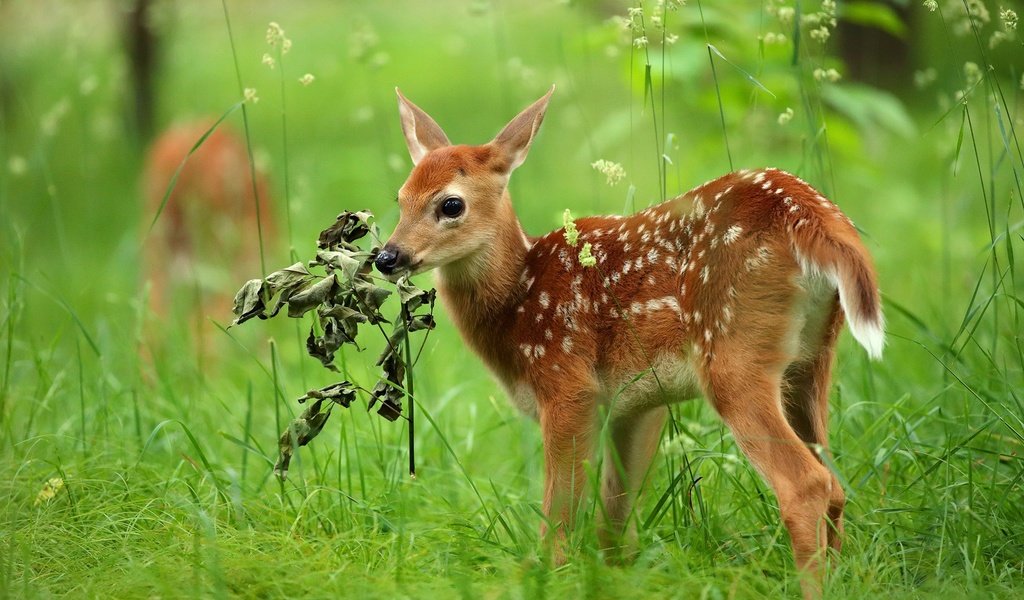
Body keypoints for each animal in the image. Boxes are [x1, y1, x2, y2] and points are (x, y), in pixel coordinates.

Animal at [376, 86, 880, 593]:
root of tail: (810, 214)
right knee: (835, 482)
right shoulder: (636, 403)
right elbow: (614, 518)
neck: (518, 299)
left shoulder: (568, 382)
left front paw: (546, 576)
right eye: (400, 198)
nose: (387, 256)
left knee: (806, 483)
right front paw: (615, 576)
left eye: (450, 205)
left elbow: (562, 513)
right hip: (811, 359)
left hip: (732, 352)